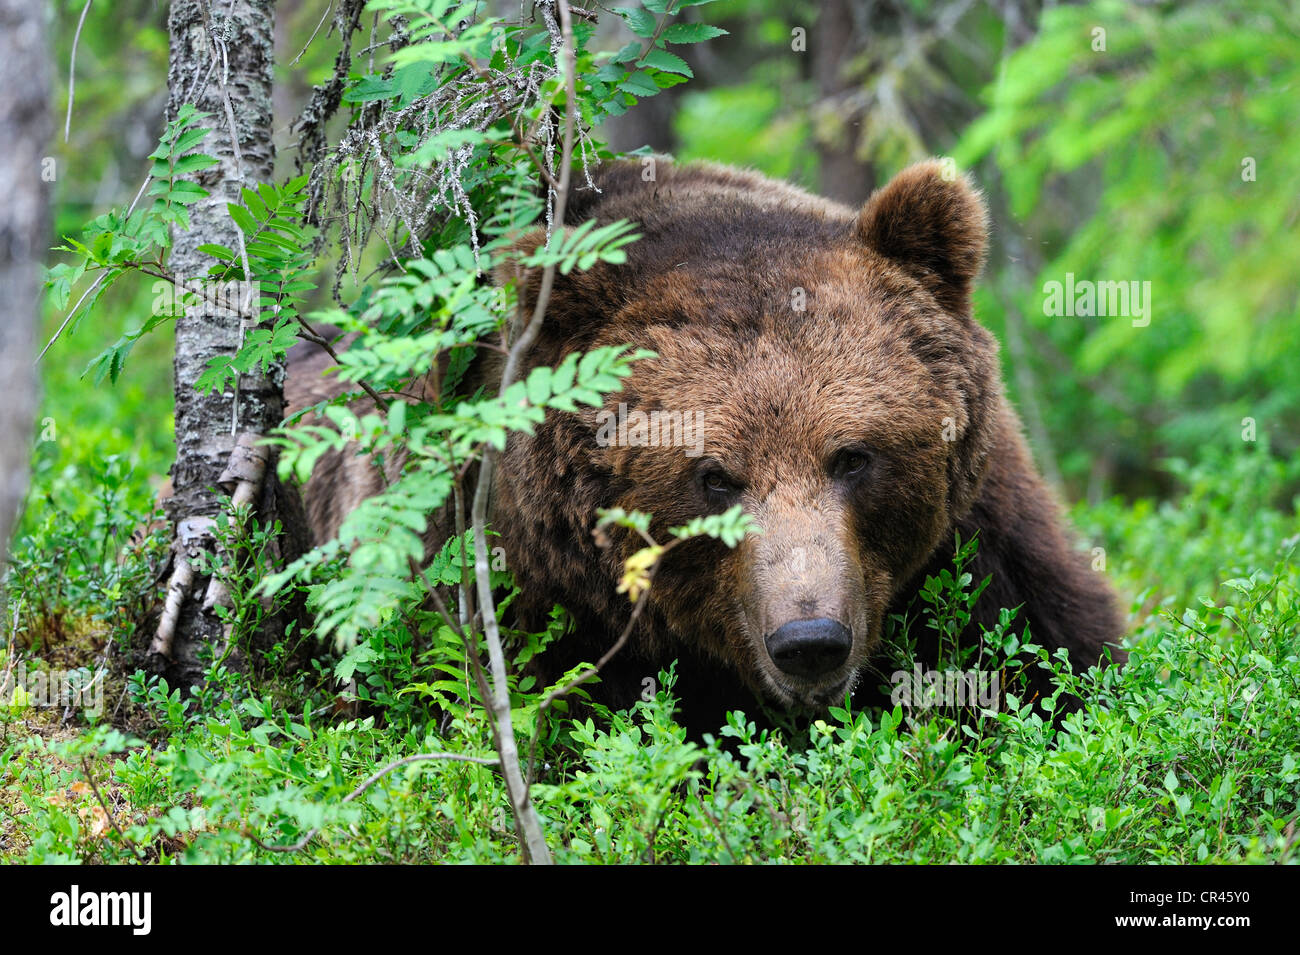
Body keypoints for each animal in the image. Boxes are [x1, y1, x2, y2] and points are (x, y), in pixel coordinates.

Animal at [289, 160, 1123, 738]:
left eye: (854, 456)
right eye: (715, 476)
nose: (810, 640)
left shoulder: (978, 537)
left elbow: (1053, 662)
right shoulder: (525, 588)